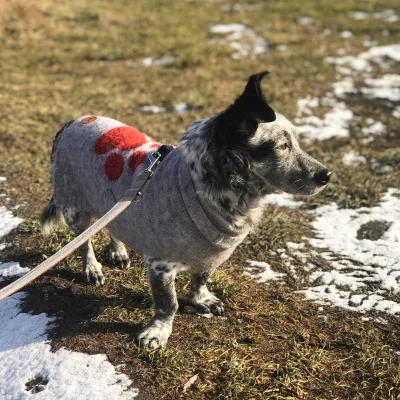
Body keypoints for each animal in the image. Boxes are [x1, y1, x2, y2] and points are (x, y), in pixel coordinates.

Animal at [39, 71, 332, 346]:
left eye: (296, 142)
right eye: (282, 146)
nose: (327, 175)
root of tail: (72, 122)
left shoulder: (211, 255)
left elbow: (200, 279)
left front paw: (201, 300)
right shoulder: (160, 265)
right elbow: (168, 303)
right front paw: (158, 332)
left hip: (115, 202)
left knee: (113, 224)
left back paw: (119, 252)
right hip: (74, 208)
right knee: (84, 243)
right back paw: (92, 268)